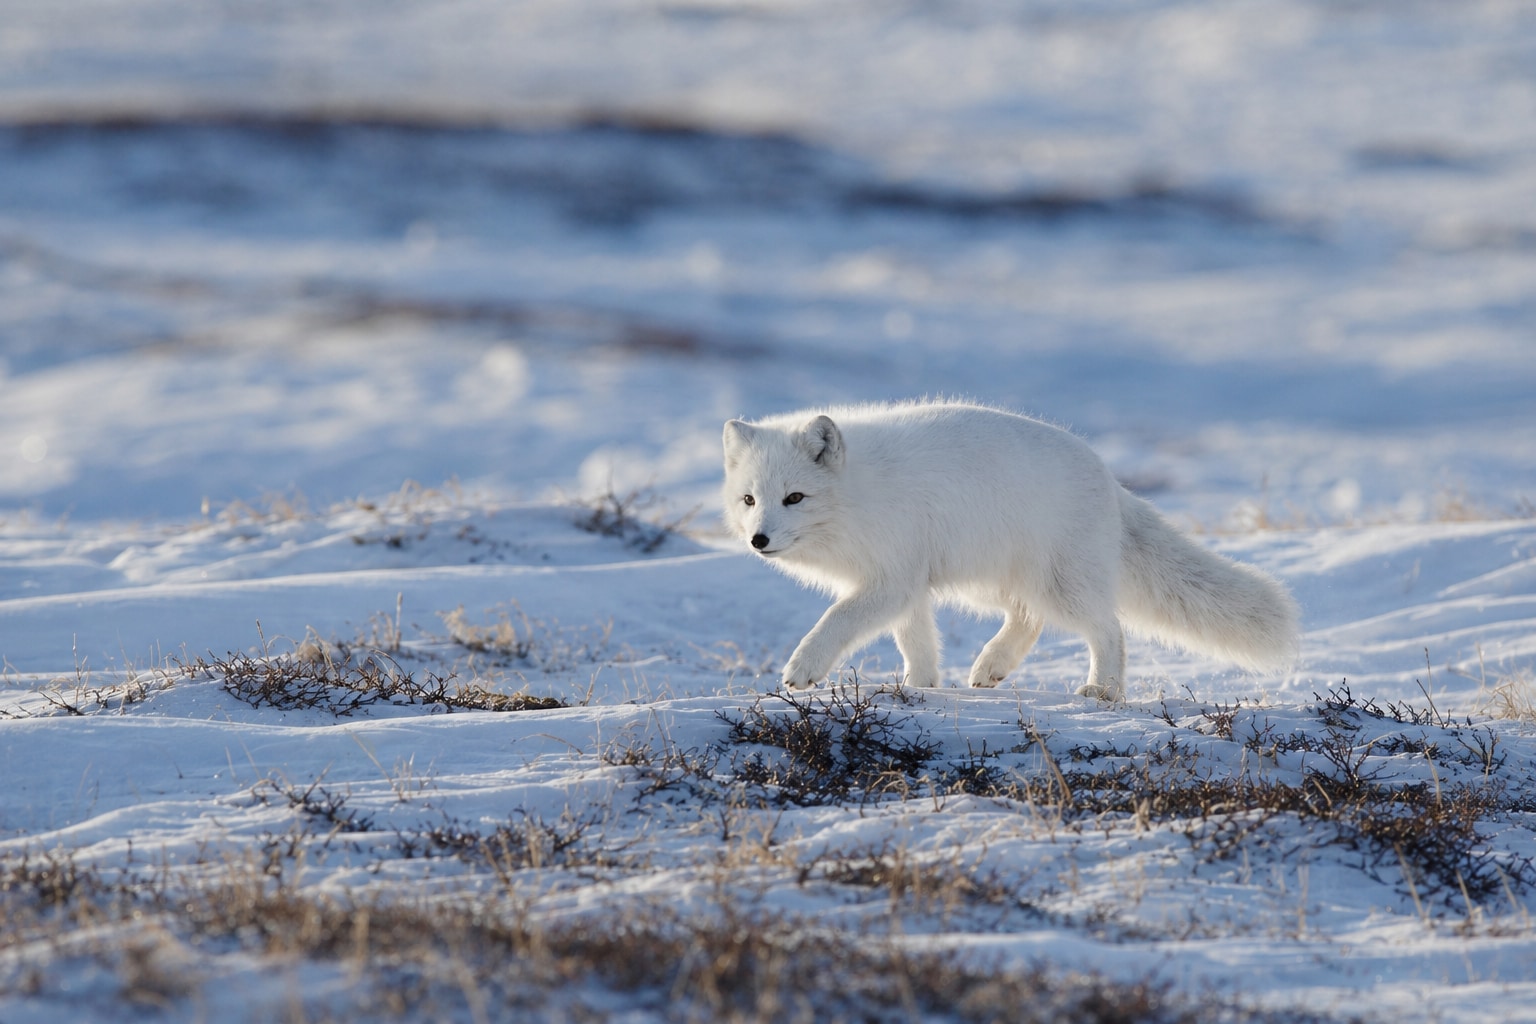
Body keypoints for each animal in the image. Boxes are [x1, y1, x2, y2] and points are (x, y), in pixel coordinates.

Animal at [721, 400, 1299, 700]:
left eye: (794, 498)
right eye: (750, 499)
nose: (758, 540)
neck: (859, 494)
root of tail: (1110, 479)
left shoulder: (890, 579)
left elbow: (837, 621)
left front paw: (802, 668)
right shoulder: (906, 584)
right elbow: (917, 641)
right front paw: (921, 687)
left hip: (1058, 584)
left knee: (1109, 628)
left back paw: (1103, 690)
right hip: (998, 581)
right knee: (1028, 620)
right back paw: (990, 667)